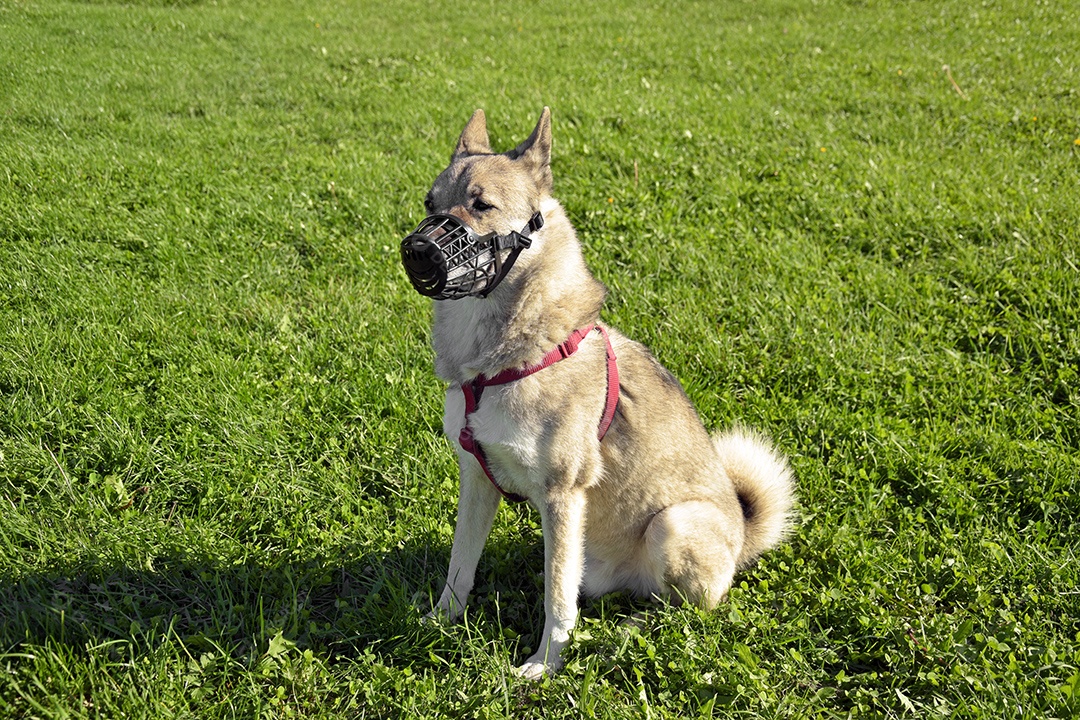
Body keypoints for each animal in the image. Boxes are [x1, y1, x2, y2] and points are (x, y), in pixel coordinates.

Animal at [406, 108, 794, 682]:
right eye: (430, 204)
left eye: (481, 206)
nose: (417, 250)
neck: (500, 362)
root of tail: (744, 538)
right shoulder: (477, 477)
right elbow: (461, 565)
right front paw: (440, 621)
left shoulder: (562, 495)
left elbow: (556, 597)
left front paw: (545, 663)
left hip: (672, 524)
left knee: (681, 610)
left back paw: (630, 633)